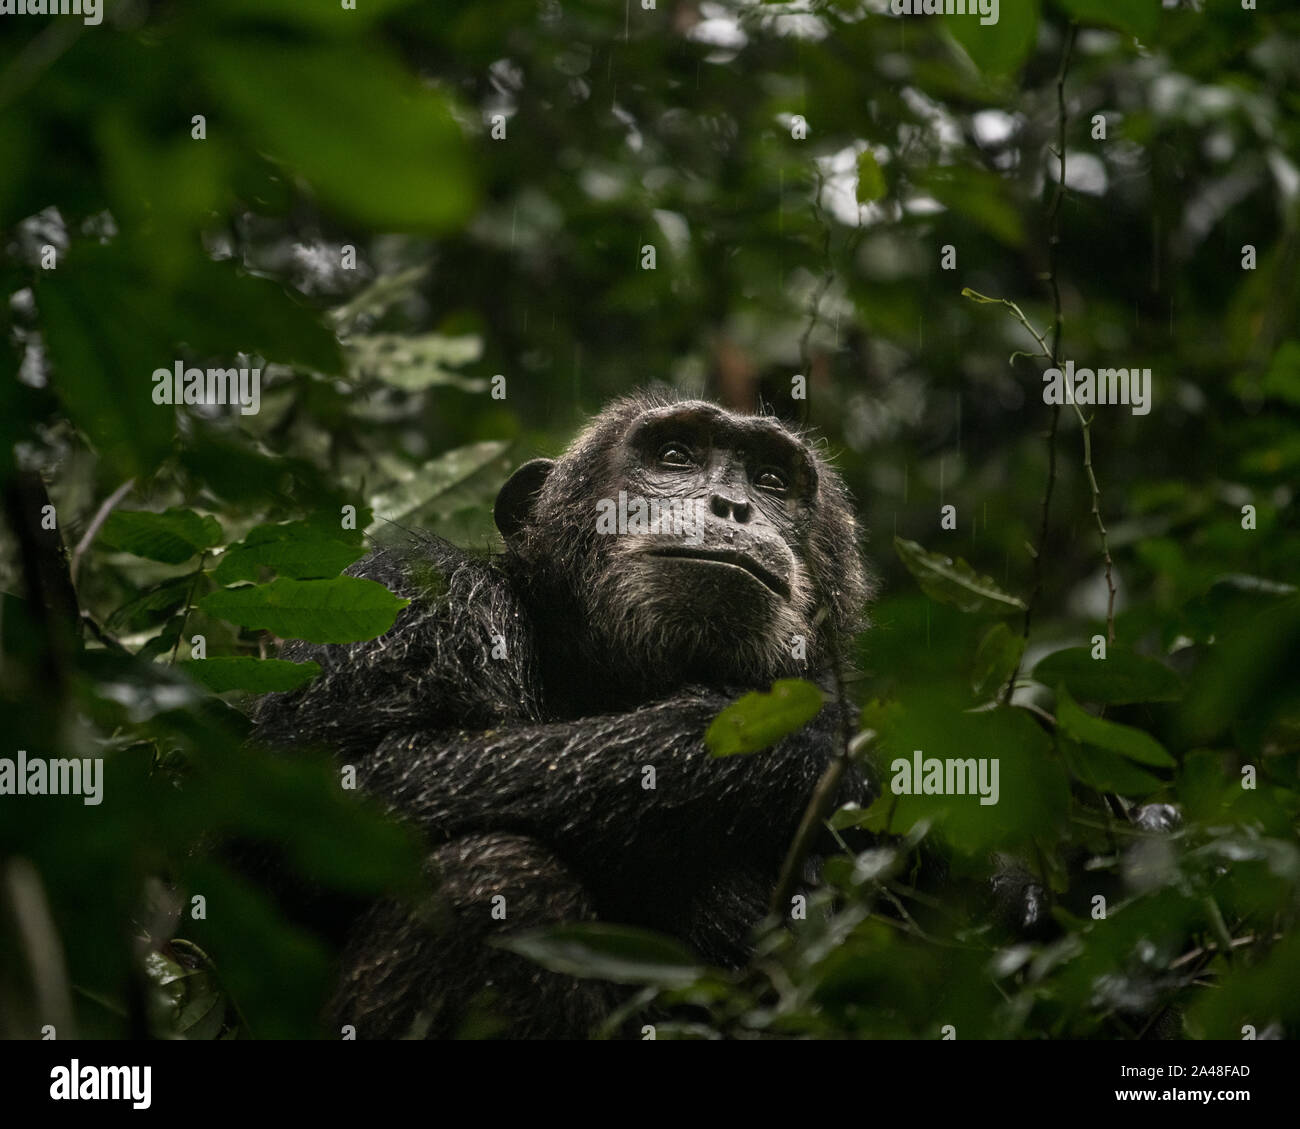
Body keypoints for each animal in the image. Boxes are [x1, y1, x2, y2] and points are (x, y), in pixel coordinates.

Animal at [248, 392, 873, 1035]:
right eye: (676, 455)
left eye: (772, 480)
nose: (735, 506)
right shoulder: (414, 596)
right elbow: (349, 780)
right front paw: (804, 743)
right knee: (499, 875)